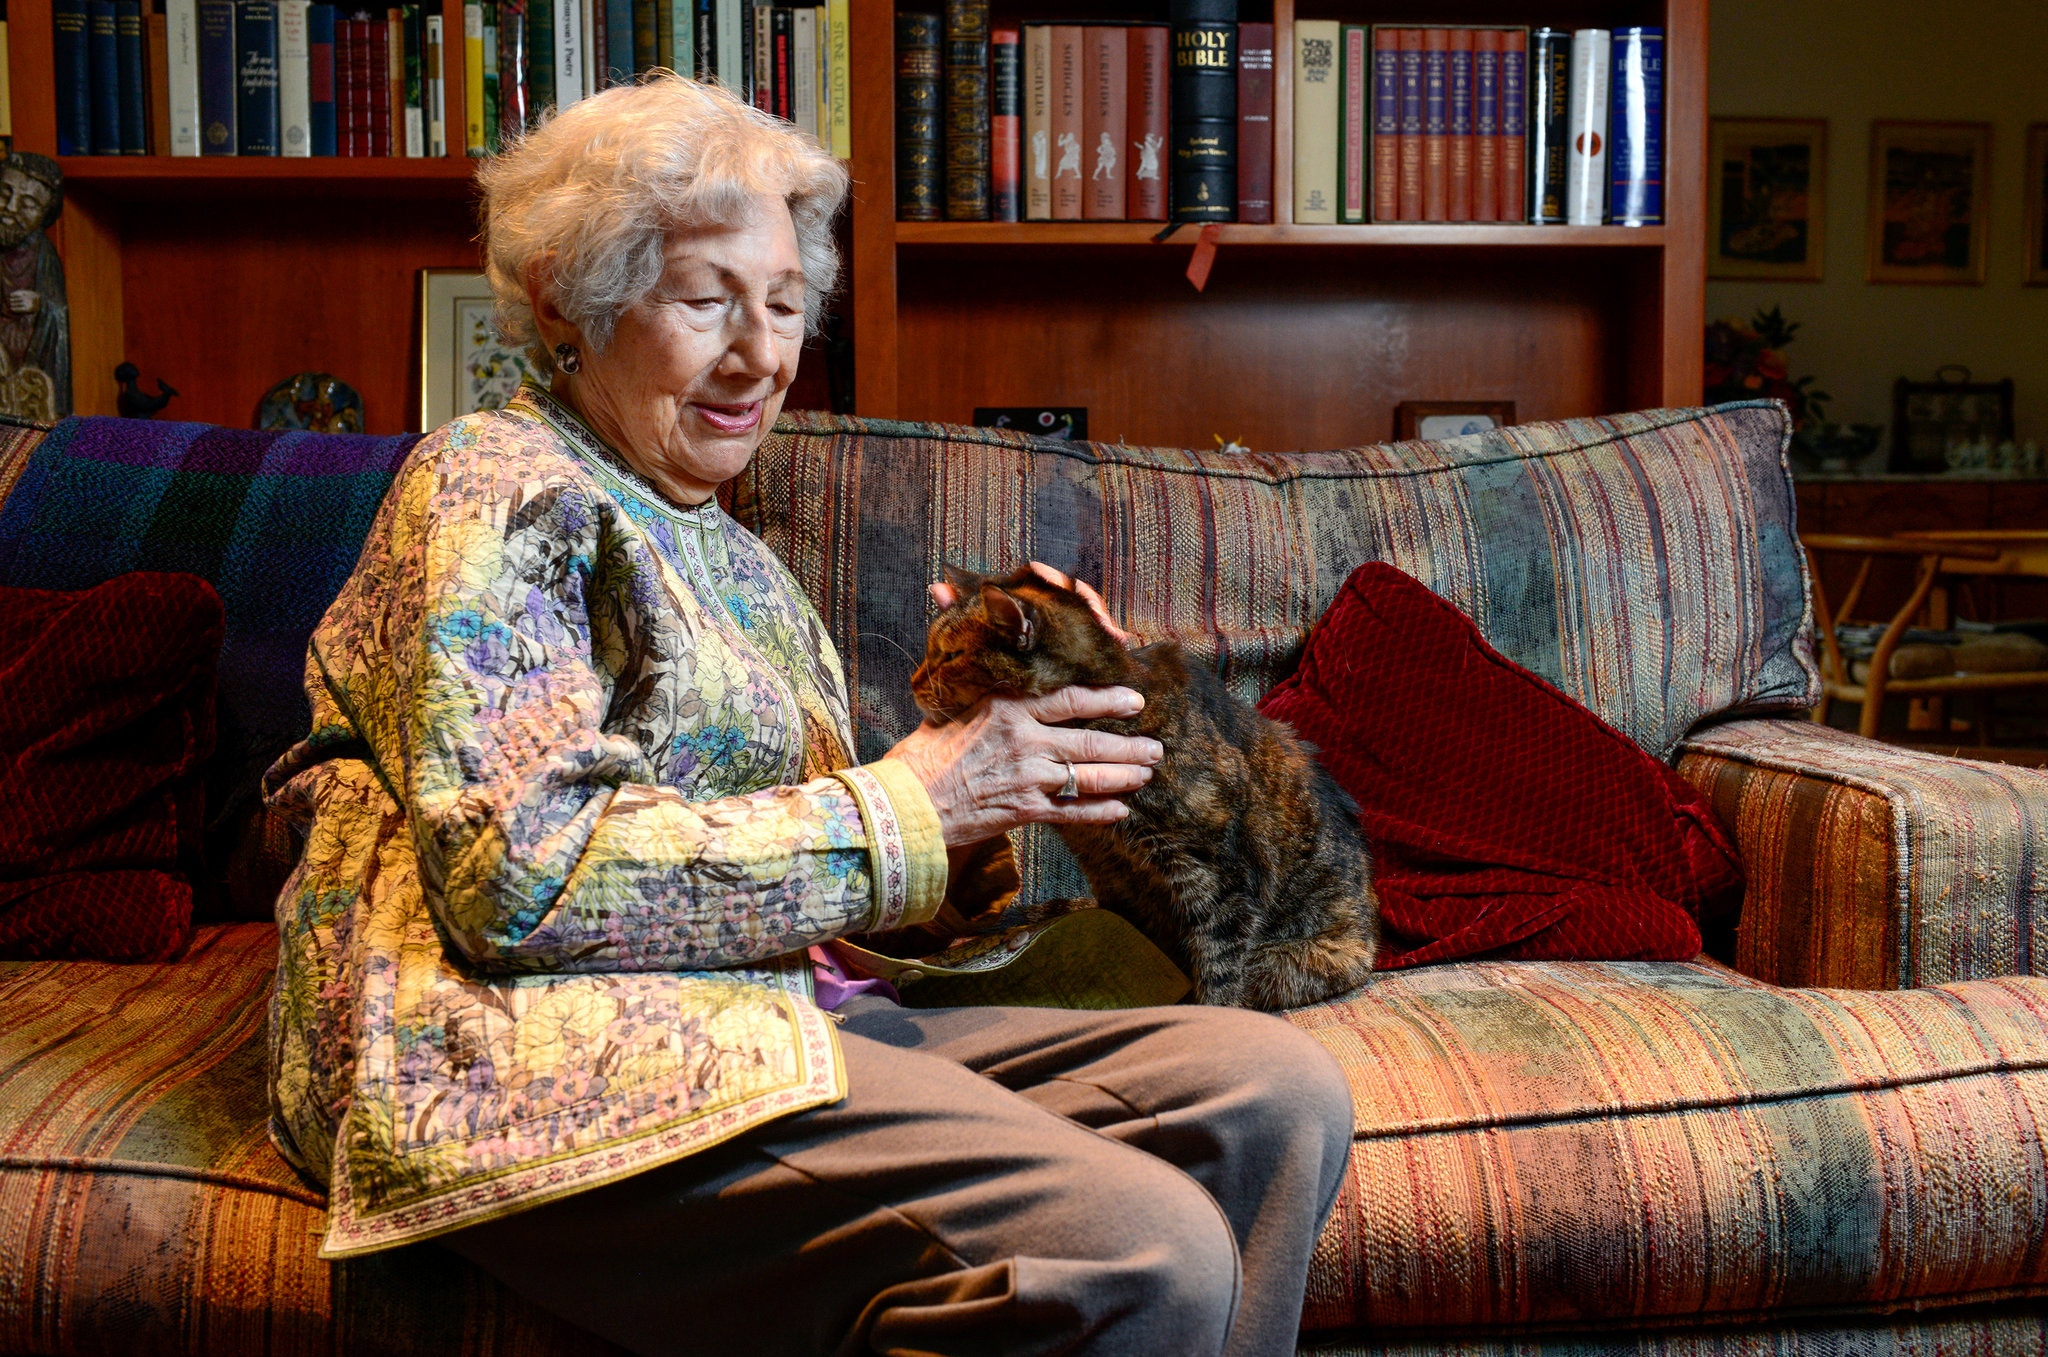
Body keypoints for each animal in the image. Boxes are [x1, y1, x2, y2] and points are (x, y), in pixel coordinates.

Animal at [913, 564, 1376, 1007]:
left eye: (950, 655)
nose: (915, 682)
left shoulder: (1220, 880)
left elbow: (1221, 972)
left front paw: (1209, 1012)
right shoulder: (1114, 876)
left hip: (1286, 958)